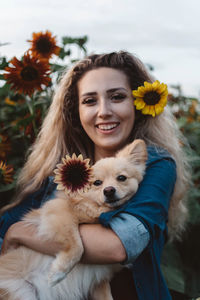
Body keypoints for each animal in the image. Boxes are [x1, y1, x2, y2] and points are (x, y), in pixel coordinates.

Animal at [0, 140, 147, 300]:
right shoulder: (59, 211)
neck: (98, 210)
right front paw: (58, 273)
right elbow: (77, 246)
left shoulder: (98, 281)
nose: (109, 190)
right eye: (97, 183)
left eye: (121, 178)